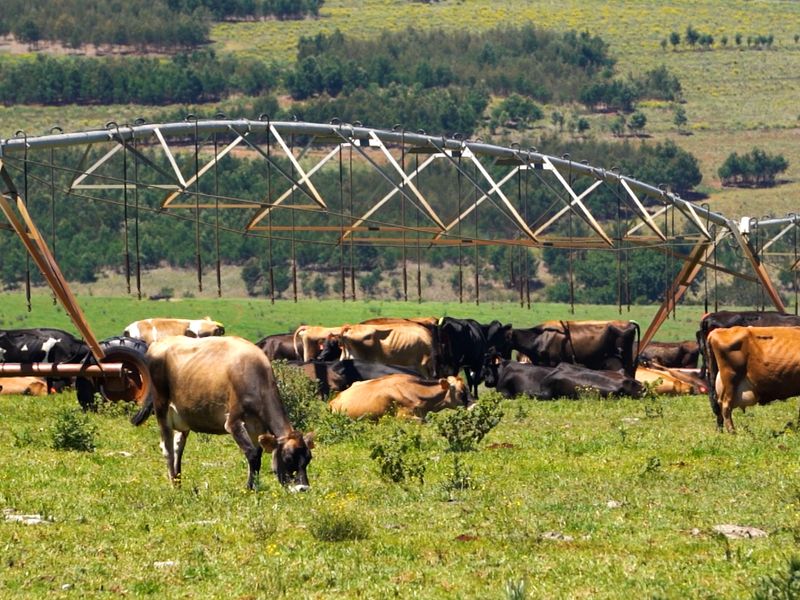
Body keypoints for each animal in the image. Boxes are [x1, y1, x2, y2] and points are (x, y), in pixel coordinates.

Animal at [133, 336, 314, 490]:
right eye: (288, 458)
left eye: (308, 459)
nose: (303, 488)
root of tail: (159, 342)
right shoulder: (233, 422)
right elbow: (252, 454)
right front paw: (250, 488)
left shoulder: (257, 426)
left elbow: (258, 454)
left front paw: (254, 486)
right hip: (161, 407)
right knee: (167, 449)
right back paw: (173, 486)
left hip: (182, 418)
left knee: (178, 448)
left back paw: (178, 483)